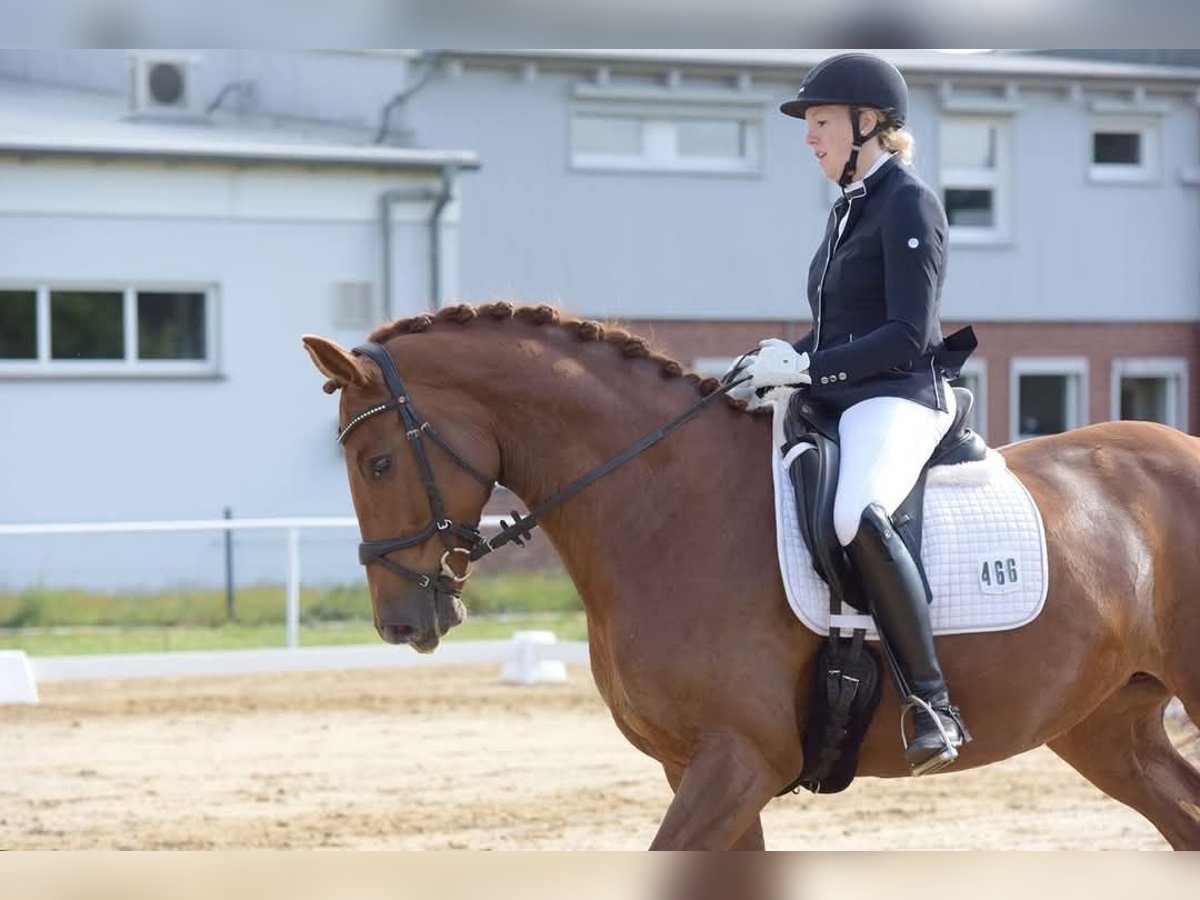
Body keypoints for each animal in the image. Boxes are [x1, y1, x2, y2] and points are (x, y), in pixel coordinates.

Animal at [302, 303, 1200, 854]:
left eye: (378, 462)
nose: (401, 624)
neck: (666, 507)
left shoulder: (739, 761)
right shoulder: (699, 768)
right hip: (1106, 728)